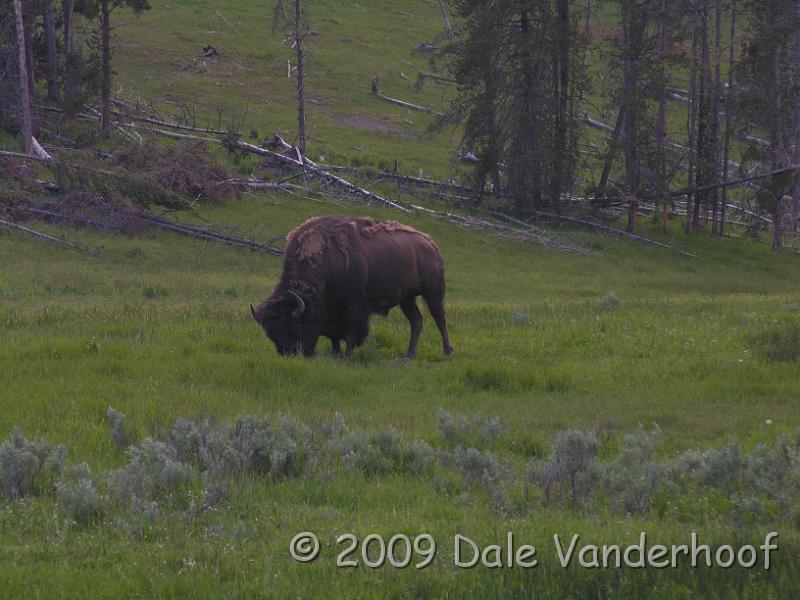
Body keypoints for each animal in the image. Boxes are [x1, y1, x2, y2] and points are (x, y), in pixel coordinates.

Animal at [251, 215, 453, 358]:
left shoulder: (353, 307)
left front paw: (347, 355)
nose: (291, 353)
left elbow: (350, 333)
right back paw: (409, 355)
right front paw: (336, 353)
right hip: (407, 298)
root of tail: (430, 243)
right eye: (271, 334)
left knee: (440, 318)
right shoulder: (331, 313)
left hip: (433, 292)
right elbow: (333, 335)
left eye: (293, 327)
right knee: (416, 321)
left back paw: (447, 352)